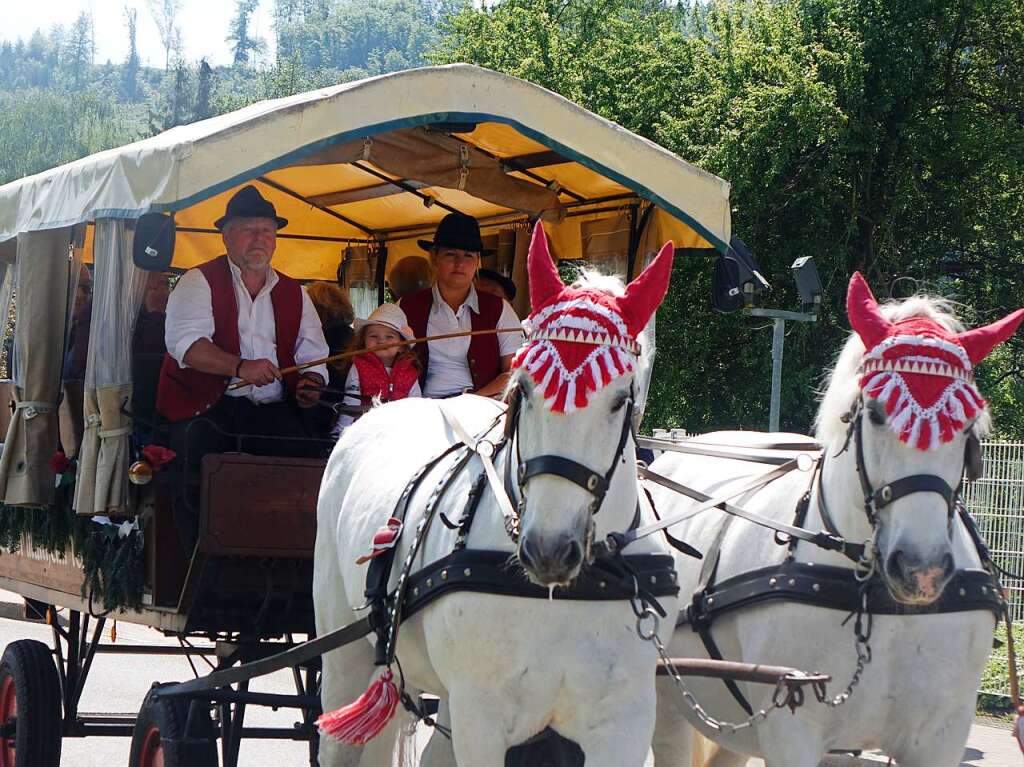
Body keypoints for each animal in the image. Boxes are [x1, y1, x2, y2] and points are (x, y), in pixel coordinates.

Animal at [651, 274, 1019, 765]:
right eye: (877, 412)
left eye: (967, 421)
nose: (920, 570)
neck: (876, 599)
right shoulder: (792, 732)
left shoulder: (938, 738)